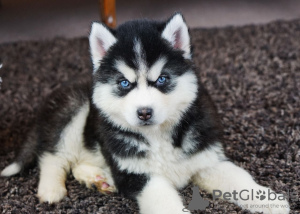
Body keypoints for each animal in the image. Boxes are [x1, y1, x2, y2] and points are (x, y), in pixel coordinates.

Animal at [1, 13, 290, 214]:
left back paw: (97, 179)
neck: (157, 137)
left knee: (77, 162)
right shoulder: (139, 176)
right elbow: (165, 202)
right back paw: (51, 189)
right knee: (53, 156)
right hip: (74, 109)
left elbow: (239, 178)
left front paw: (269, 201)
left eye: (162, 79)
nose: (144, 113)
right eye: (124, 83)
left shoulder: (207, 160)